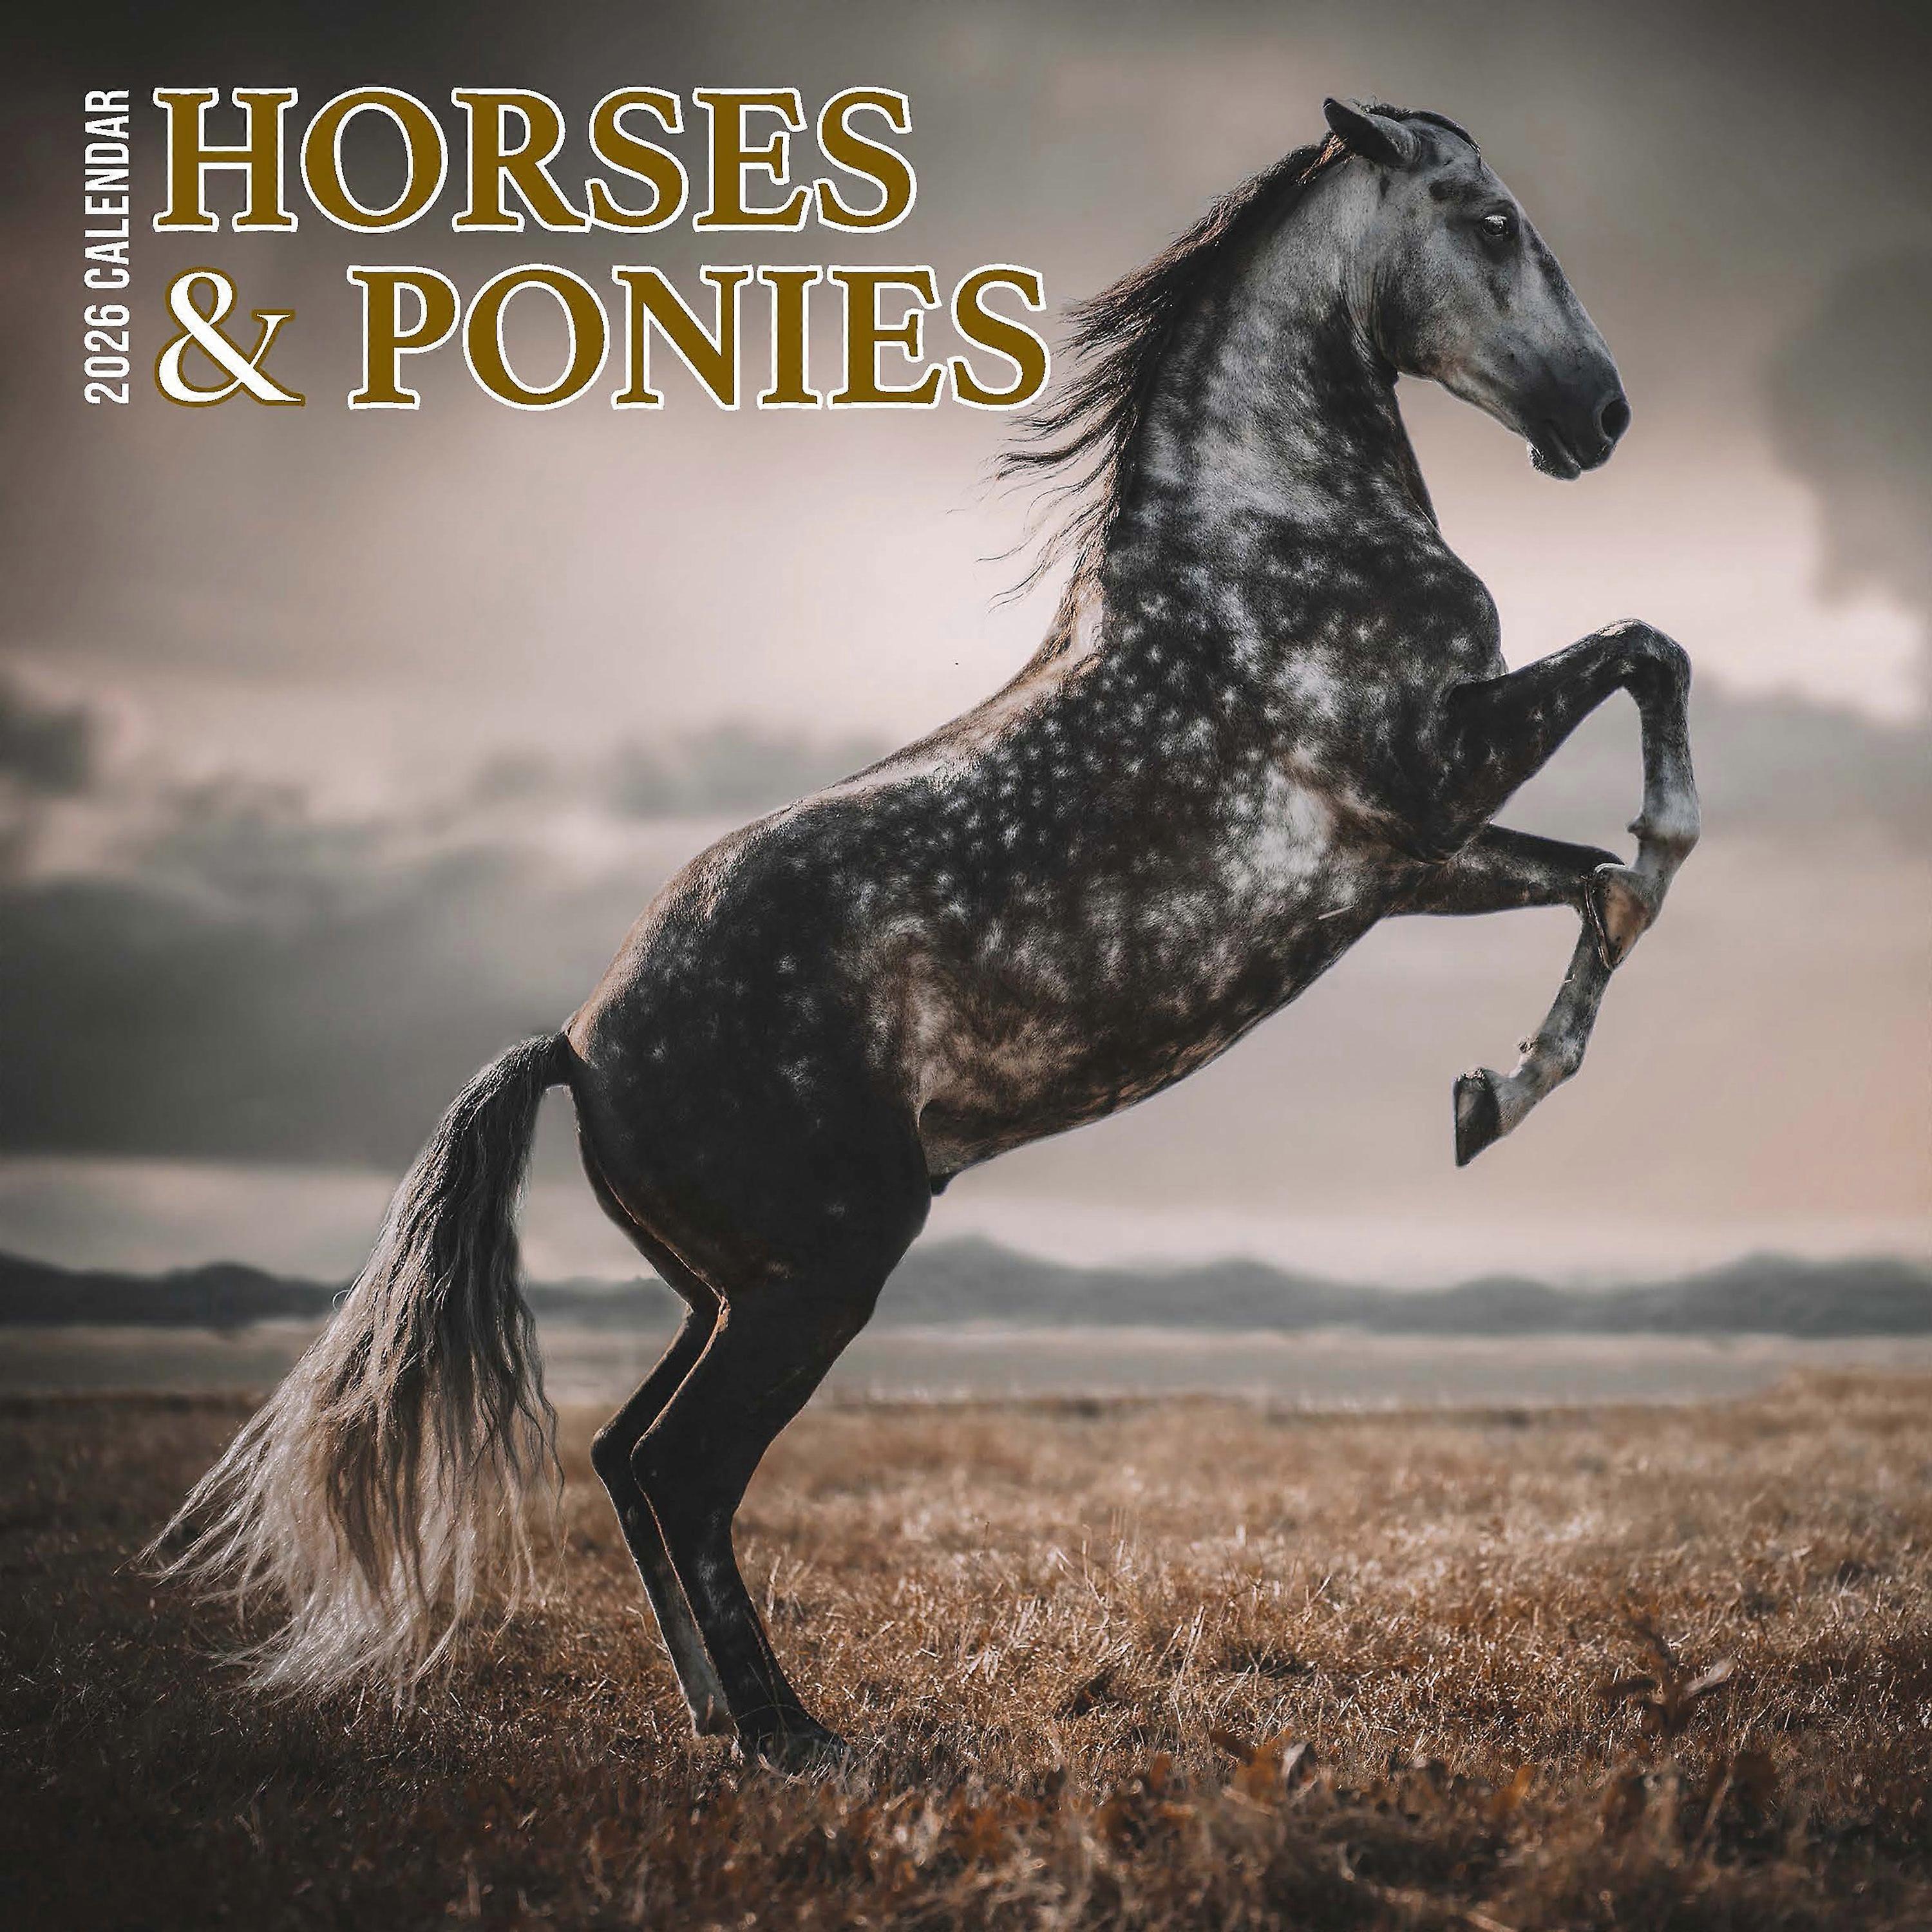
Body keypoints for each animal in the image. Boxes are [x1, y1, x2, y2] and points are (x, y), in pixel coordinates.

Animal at [155, 97, 1698, 1770]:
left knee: (625, 1455)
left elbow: (1595, 885)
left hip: (733, 1287)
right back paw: (793, 1738)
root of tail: (575, 1045)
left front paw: (1492, 1097)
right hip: (822, 1273)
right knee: (685, 1469)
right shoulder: (1423, 773)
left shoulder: (1400, 862)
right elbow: (1647, 662)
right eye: (1490, 221)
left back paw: (718, 1717)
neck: (1269, 540)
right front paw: (1609, 917)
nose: (1603, 412)